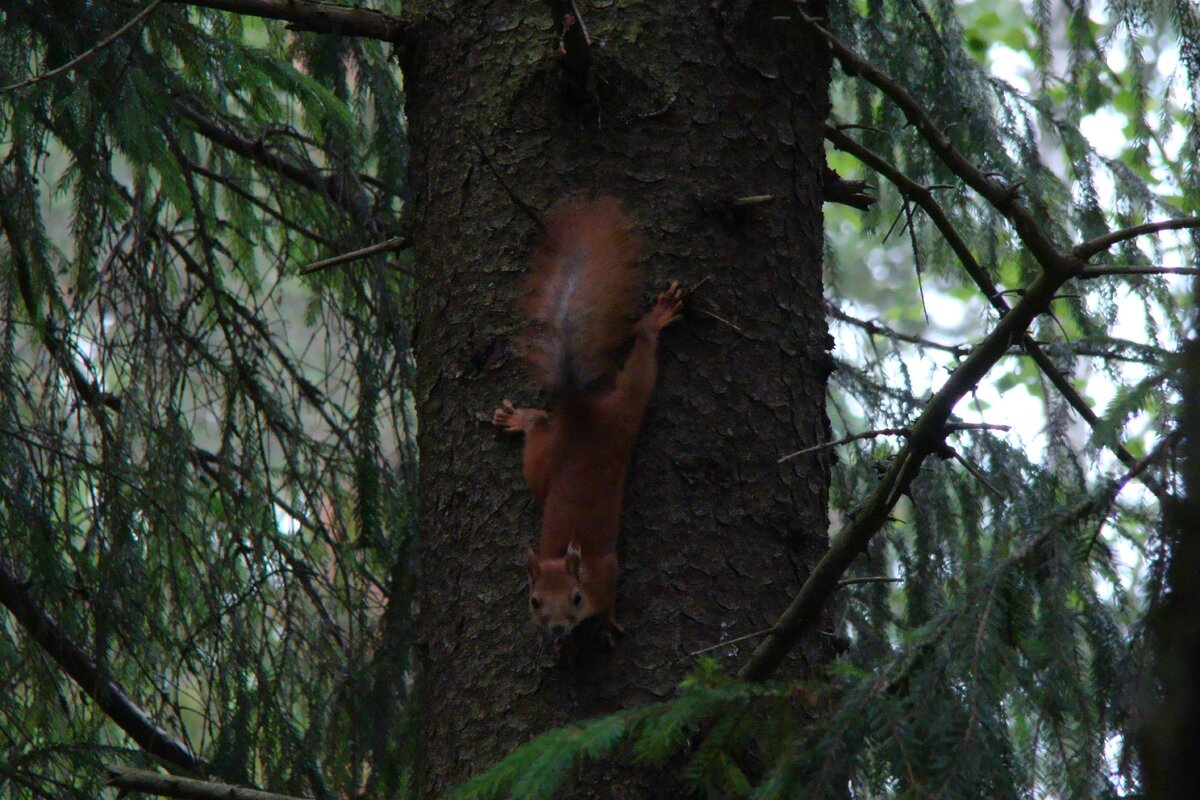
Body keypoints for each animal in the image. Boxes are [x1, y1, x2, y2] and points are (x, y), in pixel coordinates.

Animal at [489, 195, 681, 652]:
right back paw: (518, 417)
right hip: (553, 460)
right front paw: (560, 644)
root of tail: (580, 412)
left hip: (623, 412)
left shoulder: (607, 572)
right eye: (535, 601)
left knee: (640, 369)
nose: (558, 627)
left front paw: (607, 625)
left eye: (576, 597)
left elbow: (611, 601)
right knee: (540, 426)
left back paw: (655, 320)